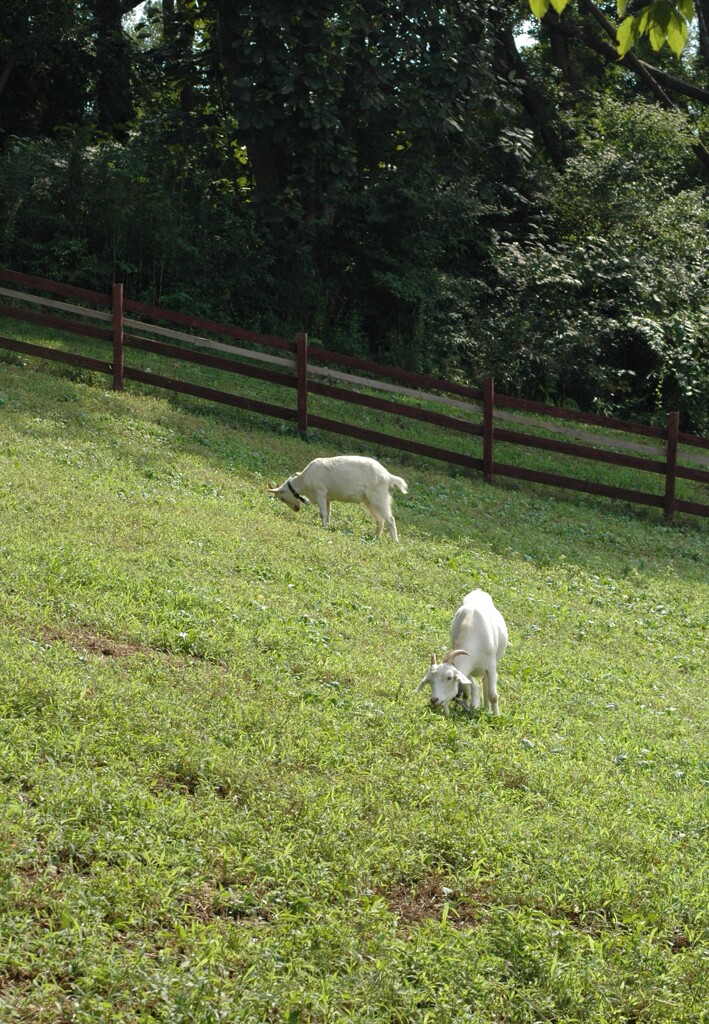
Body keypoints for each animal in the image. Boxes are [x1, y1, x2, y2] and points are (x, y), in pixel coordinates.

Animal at [266, 452, 409, 540]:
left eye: (282, 498)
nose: (297, 509)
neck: (304, 480)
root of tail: (388, 476)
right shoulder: (328, 498)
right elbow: (328, 513)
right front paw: (328, 526)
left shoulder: (320, 492)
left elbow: (322, 513)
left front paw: (323, 527)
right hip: (369, 501)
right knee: (380, 519)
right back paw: (376, 538)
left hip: (378, 496)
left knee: (390, 519)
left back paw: (395, 541)